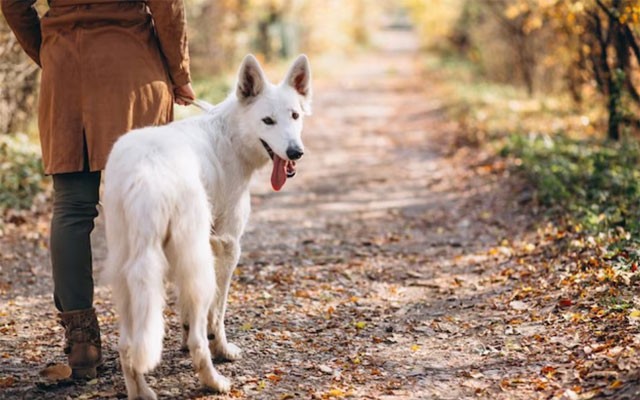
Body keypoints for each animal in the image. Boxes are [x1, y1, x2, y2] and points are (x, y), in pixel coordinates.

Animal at [103, 54, 312, 400]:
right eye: (268, 121)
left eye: (295, 116)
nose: (296, 152)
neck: (231, 135)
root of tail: (146, 173)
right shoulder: (227, 246)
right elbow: (218, 314)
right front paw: (223, 350)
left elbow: (185, 313)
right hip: (197, 268)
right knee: (198, 339)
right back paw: (214, 381)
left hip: (126, 273)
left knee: (127, 346)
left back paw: (141, 391)